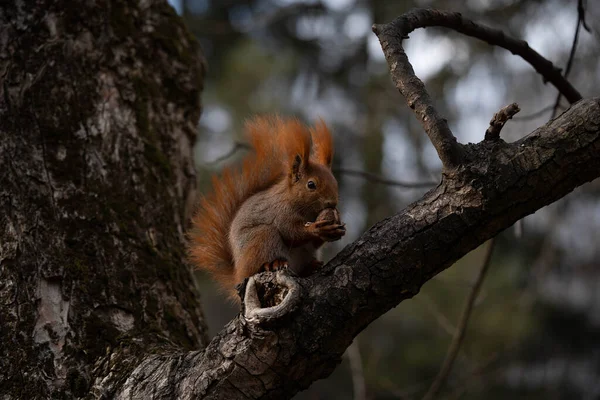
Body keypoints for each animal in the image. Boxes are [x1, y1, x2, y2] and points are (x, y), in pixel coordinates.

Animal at [188, 114, 346, 298]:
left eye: (335, 182)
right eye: (311, 185)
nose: (332, 203)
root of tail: (238, 274)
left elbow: (314, 242)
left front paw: (337, 228)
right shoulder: (280, 212)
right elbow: (291, 232)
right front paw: (317, 229)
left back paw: (310, 267)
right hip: (261, 237)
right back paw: (273, 264)